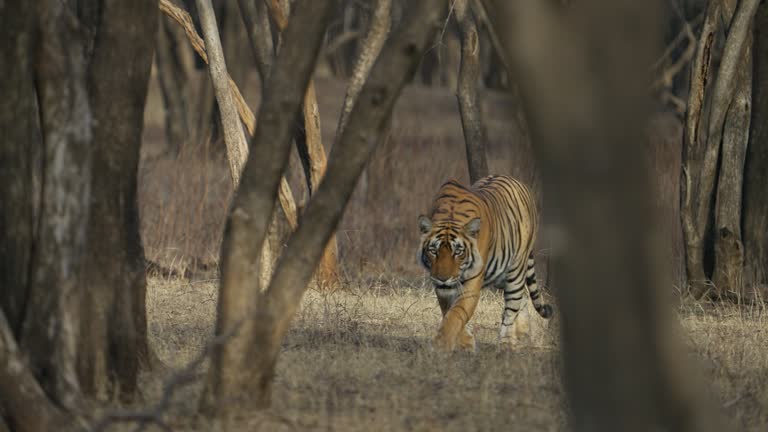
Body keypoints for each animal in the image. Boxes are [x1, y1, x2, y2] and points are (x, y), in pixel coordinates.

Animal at [416, 175, 556, 352]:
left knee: (512, 305)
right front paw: (465, 342)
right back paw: (523, 335)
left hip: (515, 269)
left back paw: (507, 343)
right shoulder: (443, 288)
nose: (443, 278)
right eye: (434, 251)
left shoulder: (472, 281)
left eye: (458, 252)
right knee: (522, 295)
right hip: (500, 274)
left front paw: (441, 345)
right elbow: (449, 311)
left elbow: (457, 313)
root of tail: (519, 182)